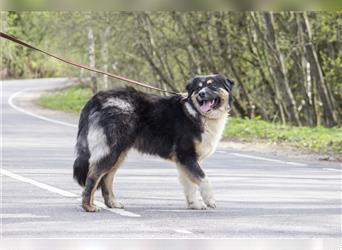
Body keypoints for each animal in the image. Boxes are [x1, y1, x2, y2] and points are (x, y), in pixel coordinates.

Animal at [73, 73, 234, 211]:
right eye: (198, 88)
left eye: (212, 86)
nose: (201, 94)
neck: (196, 112)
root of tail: (98, 98)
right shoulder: (186, 155)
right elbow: (203, 179)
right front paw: (209, 200)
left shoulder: (185, 161)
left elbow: (190, 184)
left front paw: (194, 204)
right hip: (110, 150)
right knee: (93, 175)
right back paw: (88, 206)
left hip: (119, 153)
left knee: (107, 178)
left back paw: (112, 203)